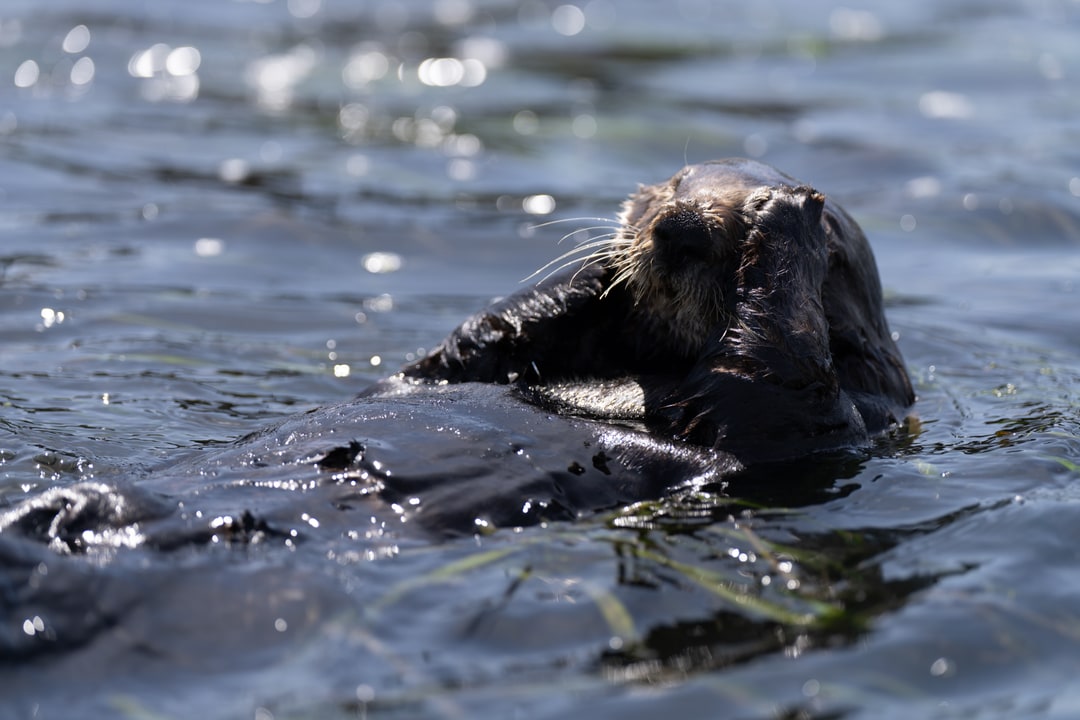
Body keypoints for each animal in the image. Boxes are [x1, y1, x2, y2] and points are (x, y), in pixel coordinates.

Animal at [0, 159, 912, 543]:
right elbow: (467, 352)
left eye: (737, 222)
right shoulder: (451, 363)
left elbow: (767, 376)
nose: (679, 225)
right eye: (675, 183)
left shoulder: (820, 419)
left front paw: (788, 216)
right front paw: (594, 274)